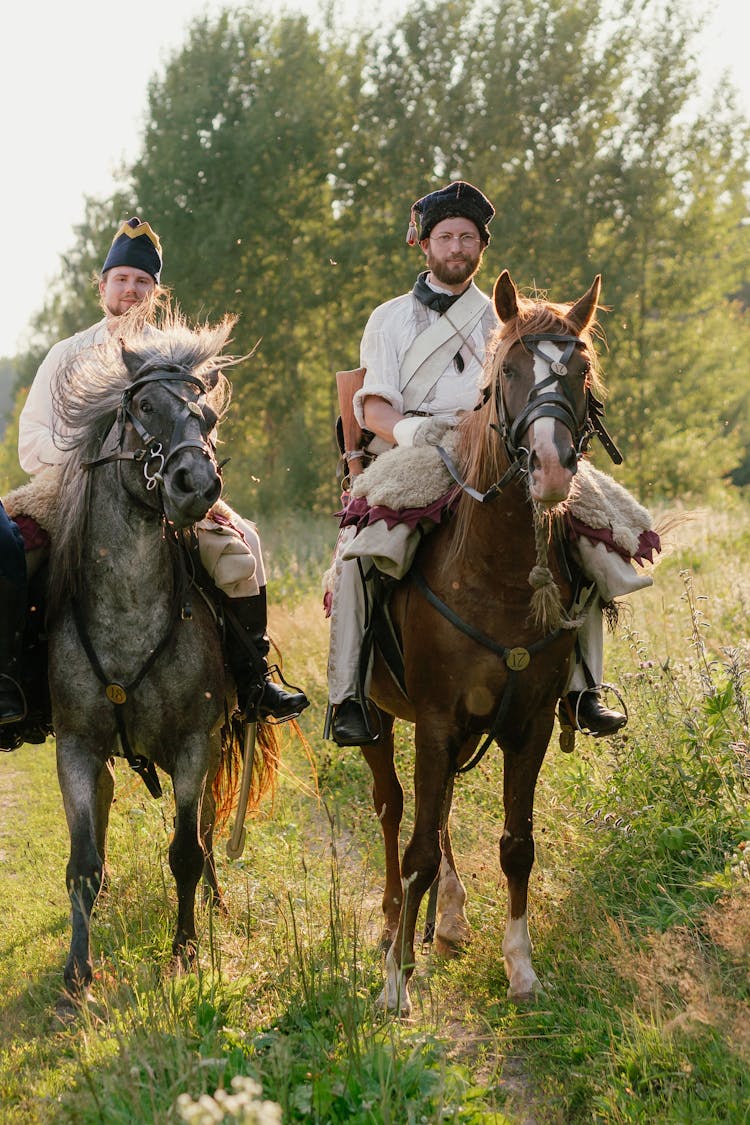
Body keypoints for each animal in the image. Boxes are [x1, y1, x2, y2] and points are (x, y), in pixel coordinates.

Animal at [43, 312, 275, 1008]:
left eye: (208, 416)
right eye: (144, 407)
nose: (196, 485)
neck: (128, 613)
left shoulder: (197, 743)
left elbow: (186, 851)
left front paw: (185, 951)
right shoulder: (77, 748)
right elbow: (83, 864)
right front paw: (77, 976)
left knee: (204, 833)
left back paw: (215, 905)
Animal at [359, 267, 607, 1017]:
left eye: (580, 370)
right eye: (510, 372)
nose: (552, 468)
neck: (496, 576)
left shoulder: (526, 724)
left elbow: (516, 844)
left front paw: (521, 968)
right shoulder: (436, 720)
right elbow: (415, 846)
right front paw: (395, 981)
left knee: (437, 820)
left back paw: (448, 918)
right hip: (380, 720)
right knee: (395, 812)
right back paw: (395, 920)